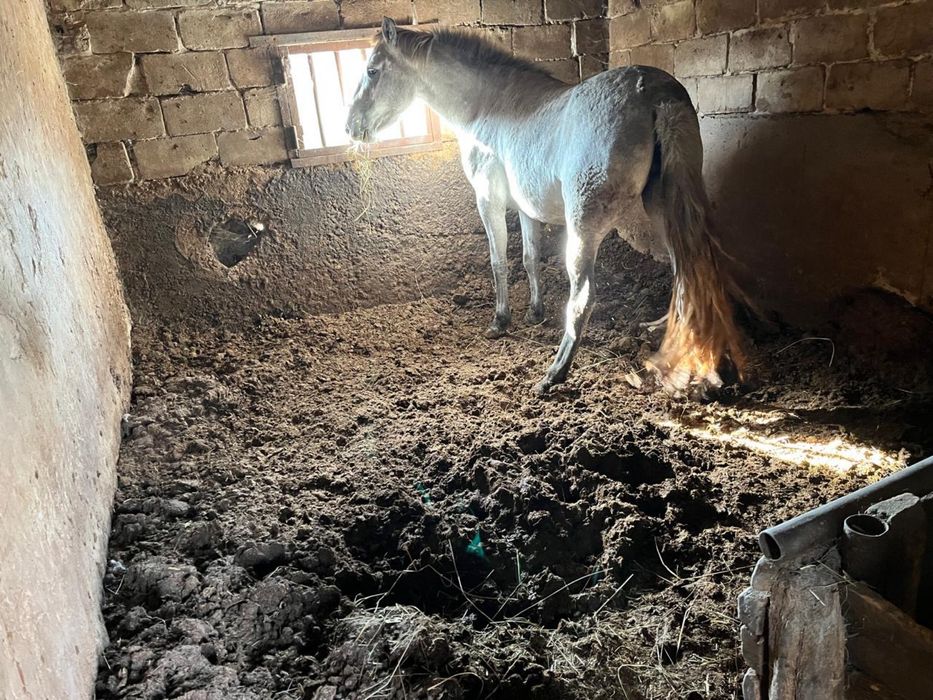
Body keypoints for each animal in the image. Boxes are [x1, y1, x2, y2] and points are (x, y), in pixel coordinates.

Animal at [347, 18, 747, 397]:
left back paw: (553, 374)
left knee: (584, 296)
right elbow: (529, 258)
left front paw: (500, 321)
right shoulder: (526, 209)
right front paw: (534, 313)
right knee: (684, 270)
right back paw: (659, 330)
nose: (351, 127)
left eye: (372, 70)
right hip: (663, 209)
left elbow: (499, 261)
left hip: (584, 226)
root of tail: (654, 94)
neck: (489, 106)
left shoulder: (489, 201)